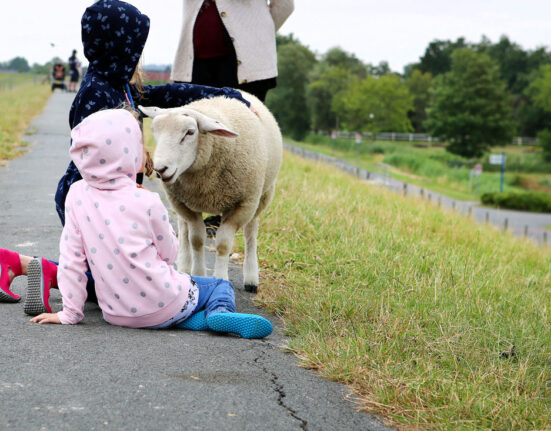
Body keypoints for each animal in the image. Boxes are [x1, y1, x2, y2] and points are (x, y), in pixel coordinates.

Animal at [138, 92, 284, 294]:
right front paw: (199, 274)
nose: (160, 169)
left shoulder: (243, 204)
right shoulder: (184, 204)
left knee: (251, 234)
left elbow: (223, 245)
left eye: (190, 132)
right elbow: (196, 240)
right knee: (183, 230)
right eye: (154, 130)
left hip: (263, 196)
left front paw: (221, 278)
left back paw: (251, 278)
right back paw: (184, 265)